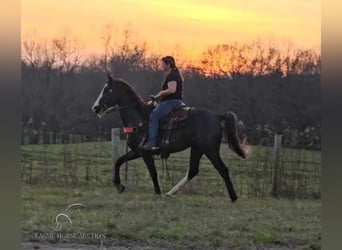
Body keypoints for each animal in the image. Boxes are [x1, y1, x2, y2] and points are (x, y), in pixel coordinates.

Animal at [92, 73, 247, 201]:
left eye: (108, 90)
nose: (95, 108)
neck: (140, 118)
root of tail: (216, 116)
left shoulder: (145, 153)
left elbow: (153, 173)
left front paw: (157, 192)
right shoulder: (137, 151)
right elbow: (118, 161)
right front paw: (119, 186)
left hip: (210, 150)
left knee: (222, 169)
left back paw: (233, 197)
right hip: (197, 149)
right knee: (193, 171)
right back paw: (170, 193)